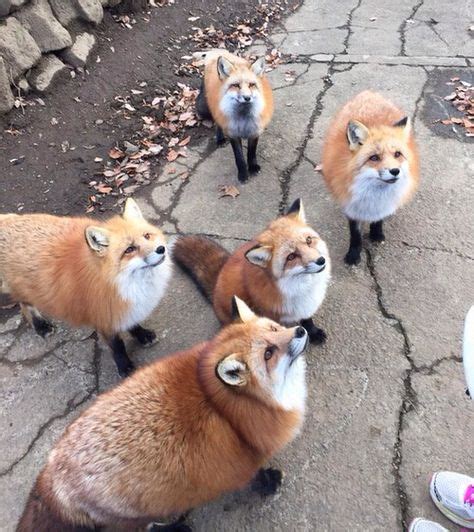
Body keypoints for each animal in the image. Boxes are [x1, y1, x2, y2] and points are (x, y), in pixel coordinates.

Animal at [0, 200, 170, 378]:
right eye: (129, 250)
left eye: (147, 236)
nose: (161, 249)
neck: (119, 283)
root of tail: (8, 219)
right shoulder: (104, 316)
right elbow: (117, 347)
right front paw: (125, 368)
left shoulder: (122, 308)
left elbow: (133, 324)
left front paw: (143, 335)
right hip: (25, 290)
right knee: (24, 306)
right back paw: (40, 326)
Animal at [17, 300, 308, 532]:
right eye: (268, 353)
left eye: (273, 329)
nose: (301, 330)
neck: (225, 406)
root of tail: (49, 473)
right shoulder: (242, 460)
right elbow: (256, 477)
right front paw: (269, 483)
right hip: (140, 515)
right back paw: (175, 528)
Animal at [172, 197, 332, 342]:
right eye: (291, 257)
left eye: (309, 240)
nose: (321, 261)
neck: (300, 288)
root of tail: (218, 278)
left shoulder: (305, 307)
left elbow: (307, 321)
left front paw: (313, 333)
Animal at [193, 50, 274, 183]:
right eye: (236, 85)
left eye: (252, 85)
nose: (247, 97)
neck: (243, 119)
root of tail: (218, 51)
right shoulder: (233, 133)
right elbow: (239, 158)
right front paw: (243, 174)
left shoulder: (255, 131)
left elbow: (251, 153)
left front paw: (252, 167)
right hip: (208, 107)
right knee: (217, 123)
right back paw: (220, 139)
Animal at [322, 93, 418, 266]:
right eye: (374, 158)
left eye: (397, 154)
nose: (395, 171)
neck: (375, 195)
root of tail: (369, 93)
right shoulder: (351, 205)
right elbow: (355, 235)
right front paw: (354, 254)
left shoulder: (383, 205)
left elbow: (379, 220)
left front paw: (376, 234)